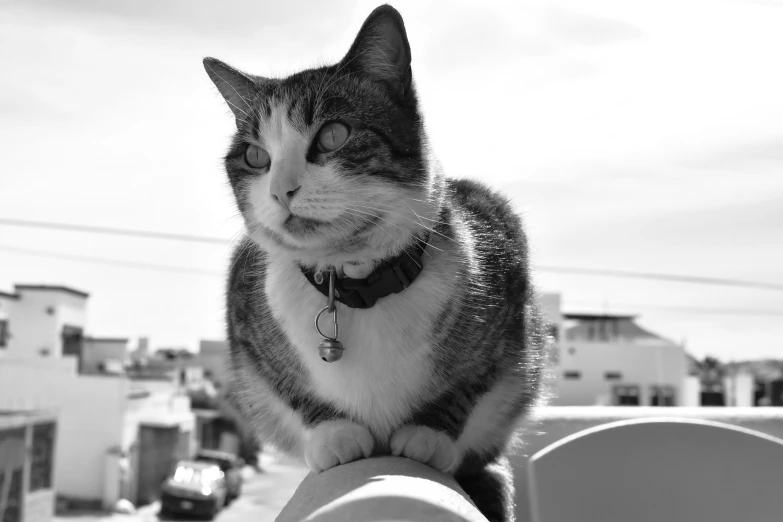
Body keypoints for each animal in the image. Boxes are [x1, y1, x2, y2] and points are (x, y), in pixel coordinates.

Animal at [202, 5, 548, 520]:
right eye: (255, 156)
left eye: (334, 135)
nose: (280, 190)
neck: (355, 284)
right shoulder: (243, 309)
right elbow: (285, 385)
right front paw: (334, 433)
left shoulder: (506, 276)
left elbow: (472, 380)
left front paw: (428, 435)